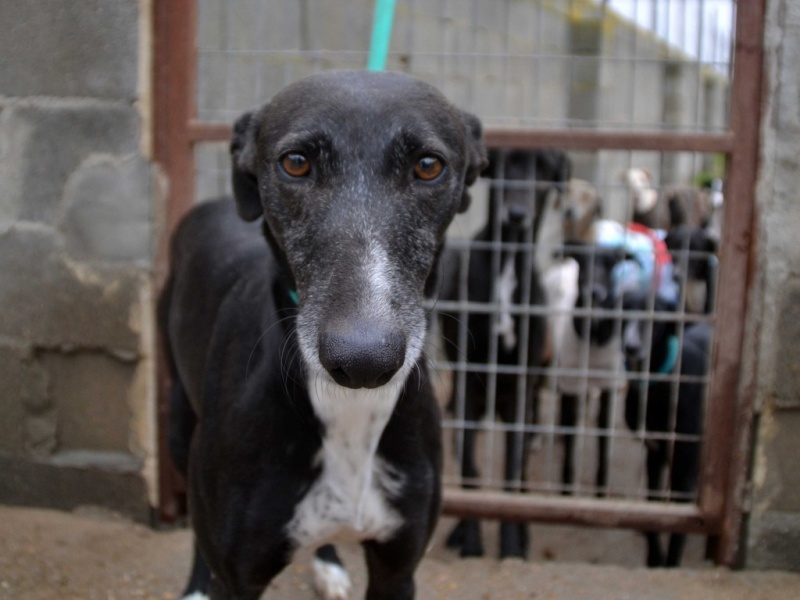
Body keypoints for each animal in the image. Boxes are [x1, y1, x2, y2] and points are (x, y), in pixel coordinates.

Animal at [159, 71, 484, 600]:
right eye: (296, 162)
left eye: (428, 166)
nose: (364, 361)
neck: (348, 412)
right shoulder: (238, 578)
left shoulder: (398, 570)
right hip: (178, 426)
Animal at [438, 149, 568, 556]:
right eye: (507, 165)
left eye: (543, 171)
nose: (517, 213)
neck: (508, 264)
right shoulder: (468, 388)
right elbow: (469, 468)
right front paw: (470, 539)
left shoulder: (520, 390)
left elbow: (513, 470)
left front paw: (512, 544)